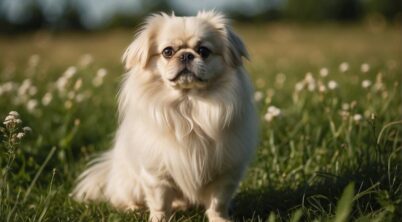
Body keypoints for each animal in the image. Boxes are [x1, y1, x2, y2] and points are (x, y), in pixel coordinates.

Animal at [72, 10, 260, 222]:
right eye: (168, 52)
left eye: (203, 51)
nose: (186, 55)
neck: (189, 107)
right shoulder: (156, 174)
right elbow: (160, 203)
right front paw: (158, 219)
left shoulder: (225, 174)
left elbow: (217, 204)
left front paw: (220, 219)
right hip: (130, 184)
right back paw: (134, 208)